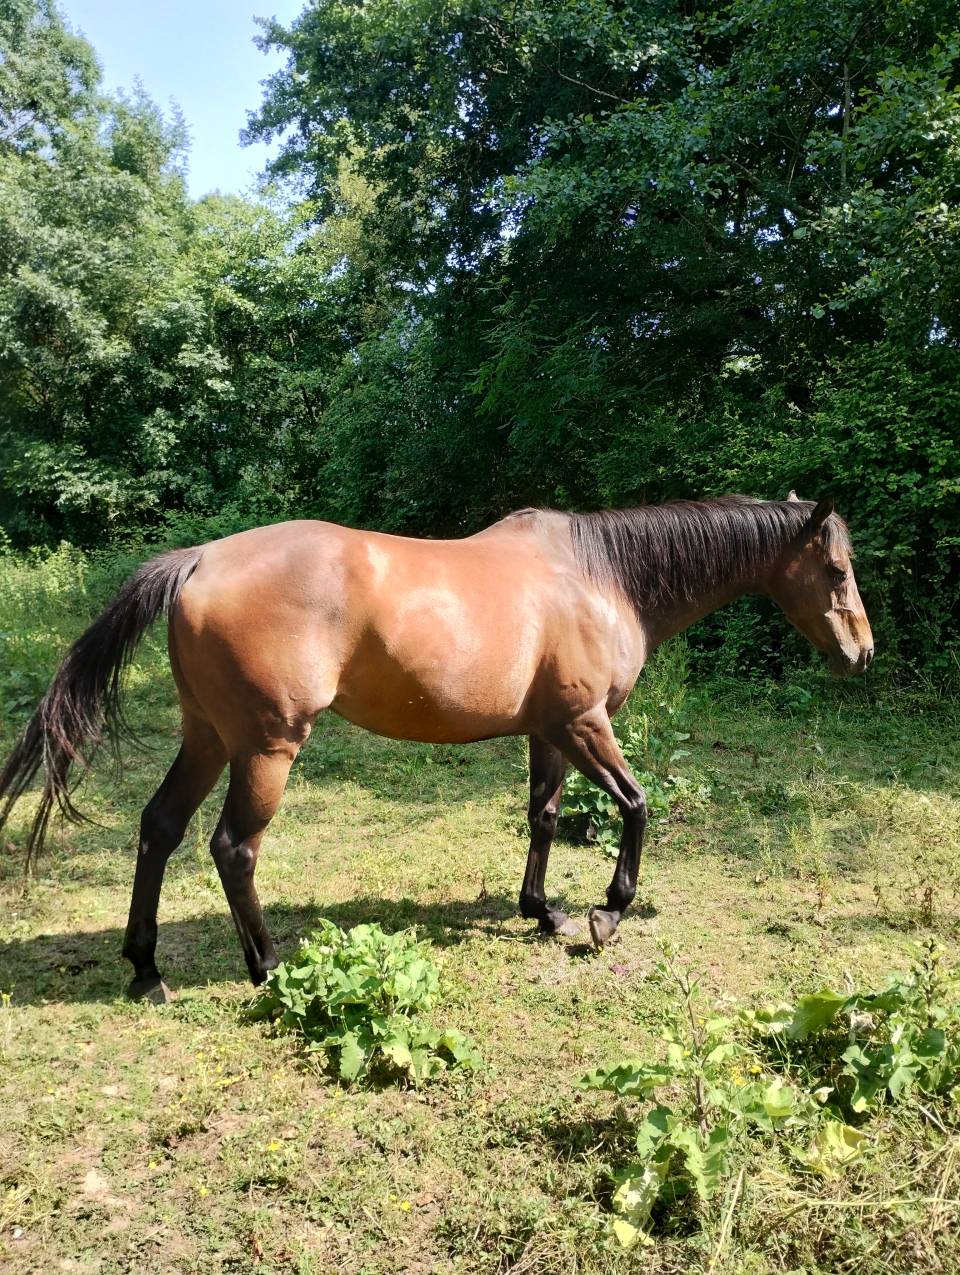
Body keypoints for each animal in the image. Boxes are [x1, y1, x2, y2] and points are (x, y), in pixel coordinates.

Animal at [0, 494, 873, 1001]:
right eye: (835, 567)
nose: (860, 651)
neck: (600, 577)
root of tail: (198, 561)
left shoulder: (549, 732)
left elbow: (543, 816)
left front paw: (542, 910)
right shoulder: (586, 723)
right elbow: (635, 805)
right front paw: (607, 912)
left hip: (208, 737)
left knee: (159, 828)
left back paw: (145, 968)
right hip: (266, 747)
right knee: (232, 847)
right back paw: (269, 967)